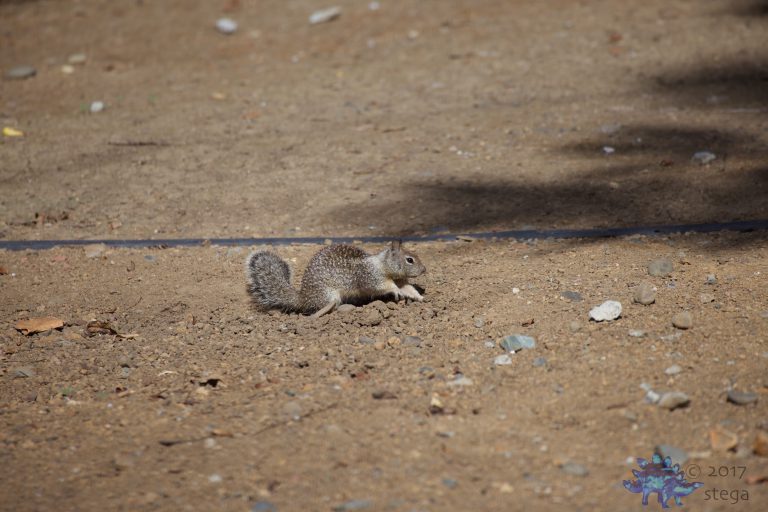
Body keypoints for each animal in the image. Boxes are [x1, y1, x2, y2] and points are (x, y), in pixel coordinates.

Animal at [245, 240, 426, 317]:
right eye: (409, 260)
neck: (383, 265)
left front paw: (420, 297)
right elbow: (382, 286)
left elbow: (408, 288)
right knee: (324, 307)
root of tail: (303, 297)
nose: (424, 269)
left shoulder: (401, 280)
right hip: (328, 294)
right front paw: (395, 291)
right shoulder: (370, 276)